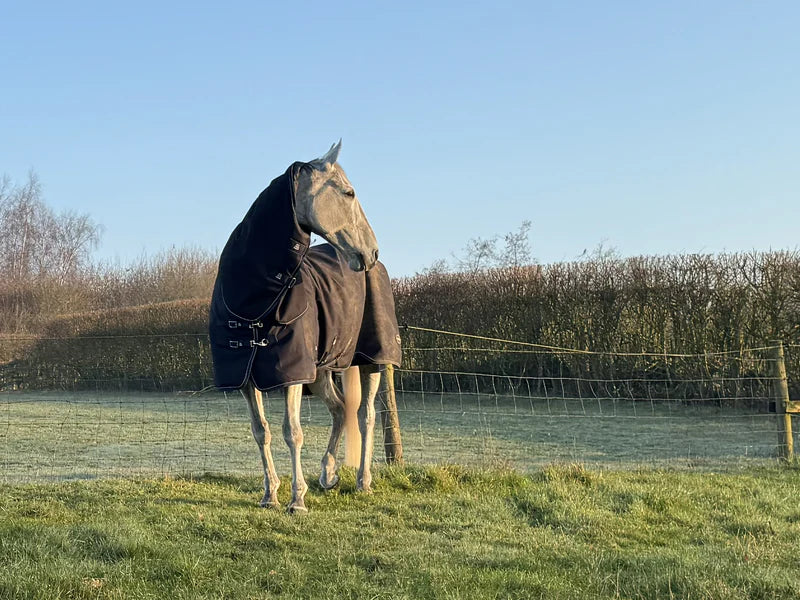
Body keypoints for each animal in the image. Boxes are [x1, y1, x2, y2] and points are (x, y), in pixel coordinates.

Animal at [209, 141, 401, 514]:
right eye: (348, 192)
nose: (371, 251)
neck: (254, 300)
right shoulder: (246, 377)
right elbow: (261, 431)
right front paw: (270, 494)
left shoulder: (292, 374)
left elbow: (292, 431)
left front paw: (296, 499)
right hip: (322, 370)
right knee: (341, 409)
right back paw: (328, 474)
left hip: (371, 360)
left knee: (366, 415)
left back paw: (363, 482)